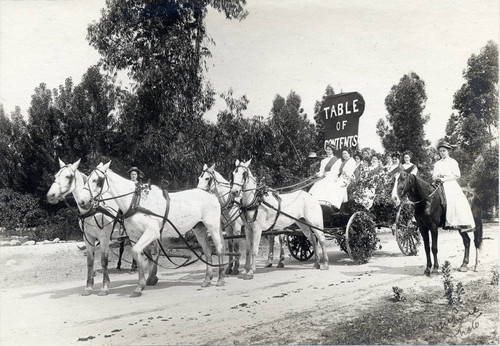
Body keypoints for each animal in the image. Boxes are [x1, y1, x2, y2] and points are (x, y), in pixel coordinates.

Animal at [47, 158, 120, 296]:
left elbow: (104, 261)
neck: (92, 210)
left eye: (68, 176)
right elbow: (90, 262)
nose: (50, 195)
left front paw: (104, 287)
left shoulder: (104, 237)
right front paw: (89, 287)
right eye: (55, 175)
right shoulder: (88, 237)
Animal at [81, 161, 226, 296]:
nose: (83, 202)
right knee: (207, 250)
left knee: (219, 248)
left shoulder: (151, 232)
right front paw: (141, 285)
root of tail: (211, 194)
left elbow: (137, 252)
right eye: (87, 179)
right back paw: (207, 280)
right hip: (199, 229)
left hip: (212, 227)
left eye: (96, 180)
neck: (135, 201)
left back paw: (220, 279)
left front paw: (141, 285)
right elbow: (138, 254)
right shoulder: (134, 236)